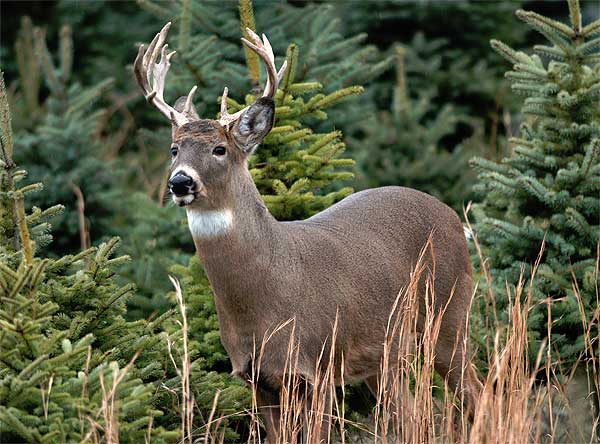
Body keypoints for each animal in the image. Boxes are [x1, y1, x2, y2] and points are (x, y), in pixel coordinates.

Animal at [134, 23, 480, 440]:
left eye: (219, 149)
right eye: (174, 149)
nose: (180, 182)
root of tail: (453, 217)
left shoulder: (321, 364)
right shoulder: (257, 377)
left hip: (450, 312)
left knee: (476, 391)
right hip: (385, 356)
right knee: (410, 416)